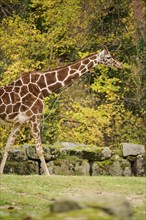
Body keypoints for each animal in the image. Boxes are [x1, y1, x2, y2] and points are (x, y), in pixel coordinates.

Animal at [0, 47, 122, 175]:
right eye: (108, 57)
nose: (120, 65)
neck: (42, 87)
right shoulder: (35, 116)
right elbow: (39, 149)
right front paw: (48, 175)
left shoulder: (19, 121)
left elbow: (8, 146)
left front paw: (1, 172)